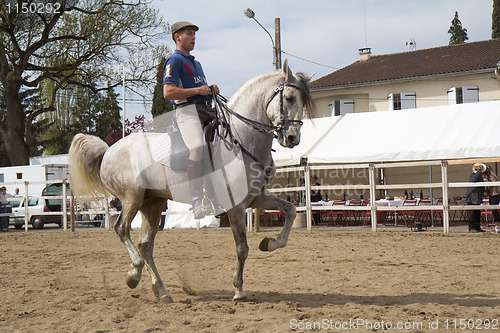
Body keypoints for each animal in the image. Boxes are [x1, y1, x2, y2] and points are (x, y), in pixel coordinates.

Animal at [68, 59, 314, 300]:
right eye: (289, 98)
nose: (292, 138)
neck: (241, 140)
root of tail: (108, 151)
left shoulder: (256, 198)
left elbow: (291, 211)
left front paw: (269, 243)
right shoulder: (235, 206)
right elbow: (242, 248)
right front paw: (238, 289)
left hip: (153, 203)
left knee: (145, 244)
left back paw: (160, 289)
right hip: (132, 198)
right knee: (122, 229)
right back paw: (134, 273)